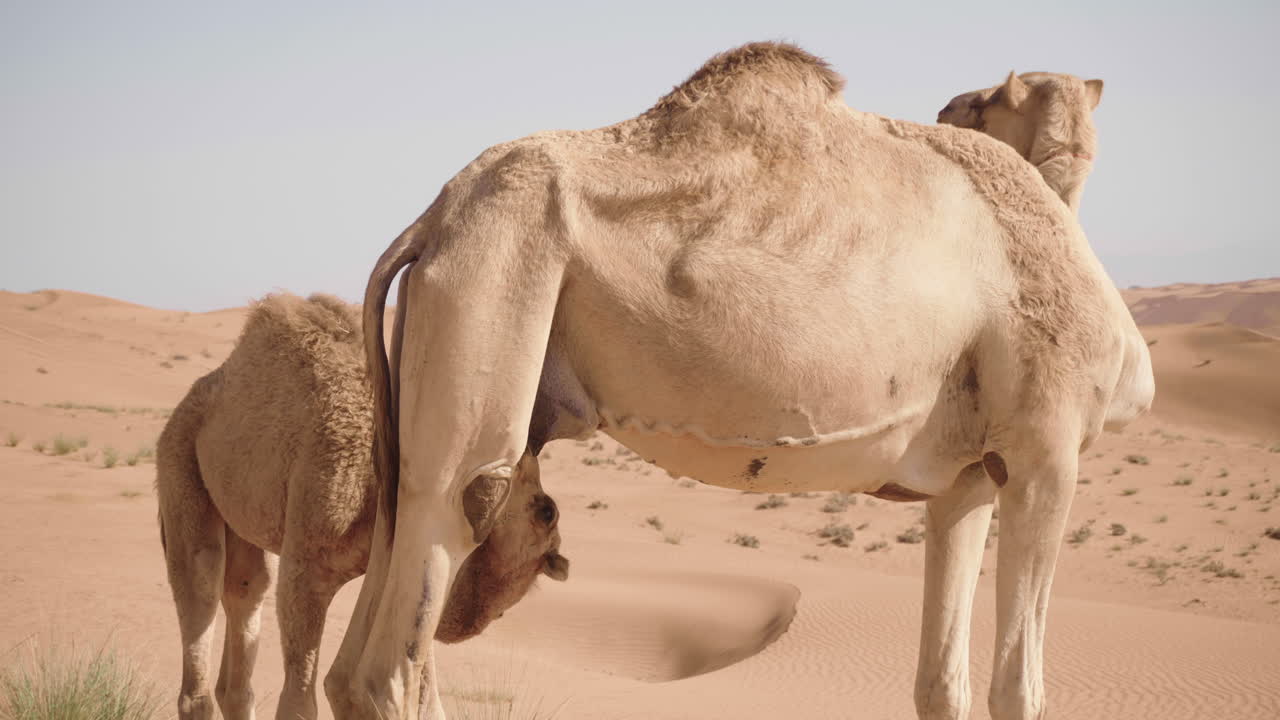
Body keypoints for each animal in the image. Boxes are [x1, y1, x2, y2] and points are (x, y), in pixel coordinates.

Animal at [155, 293, 569, 720]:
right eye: (545, 513)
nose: (480, 618)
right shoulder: (309, 558)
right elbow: (301, 697)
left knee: (245, 588)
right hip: (178, 458)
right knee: (202, 576)